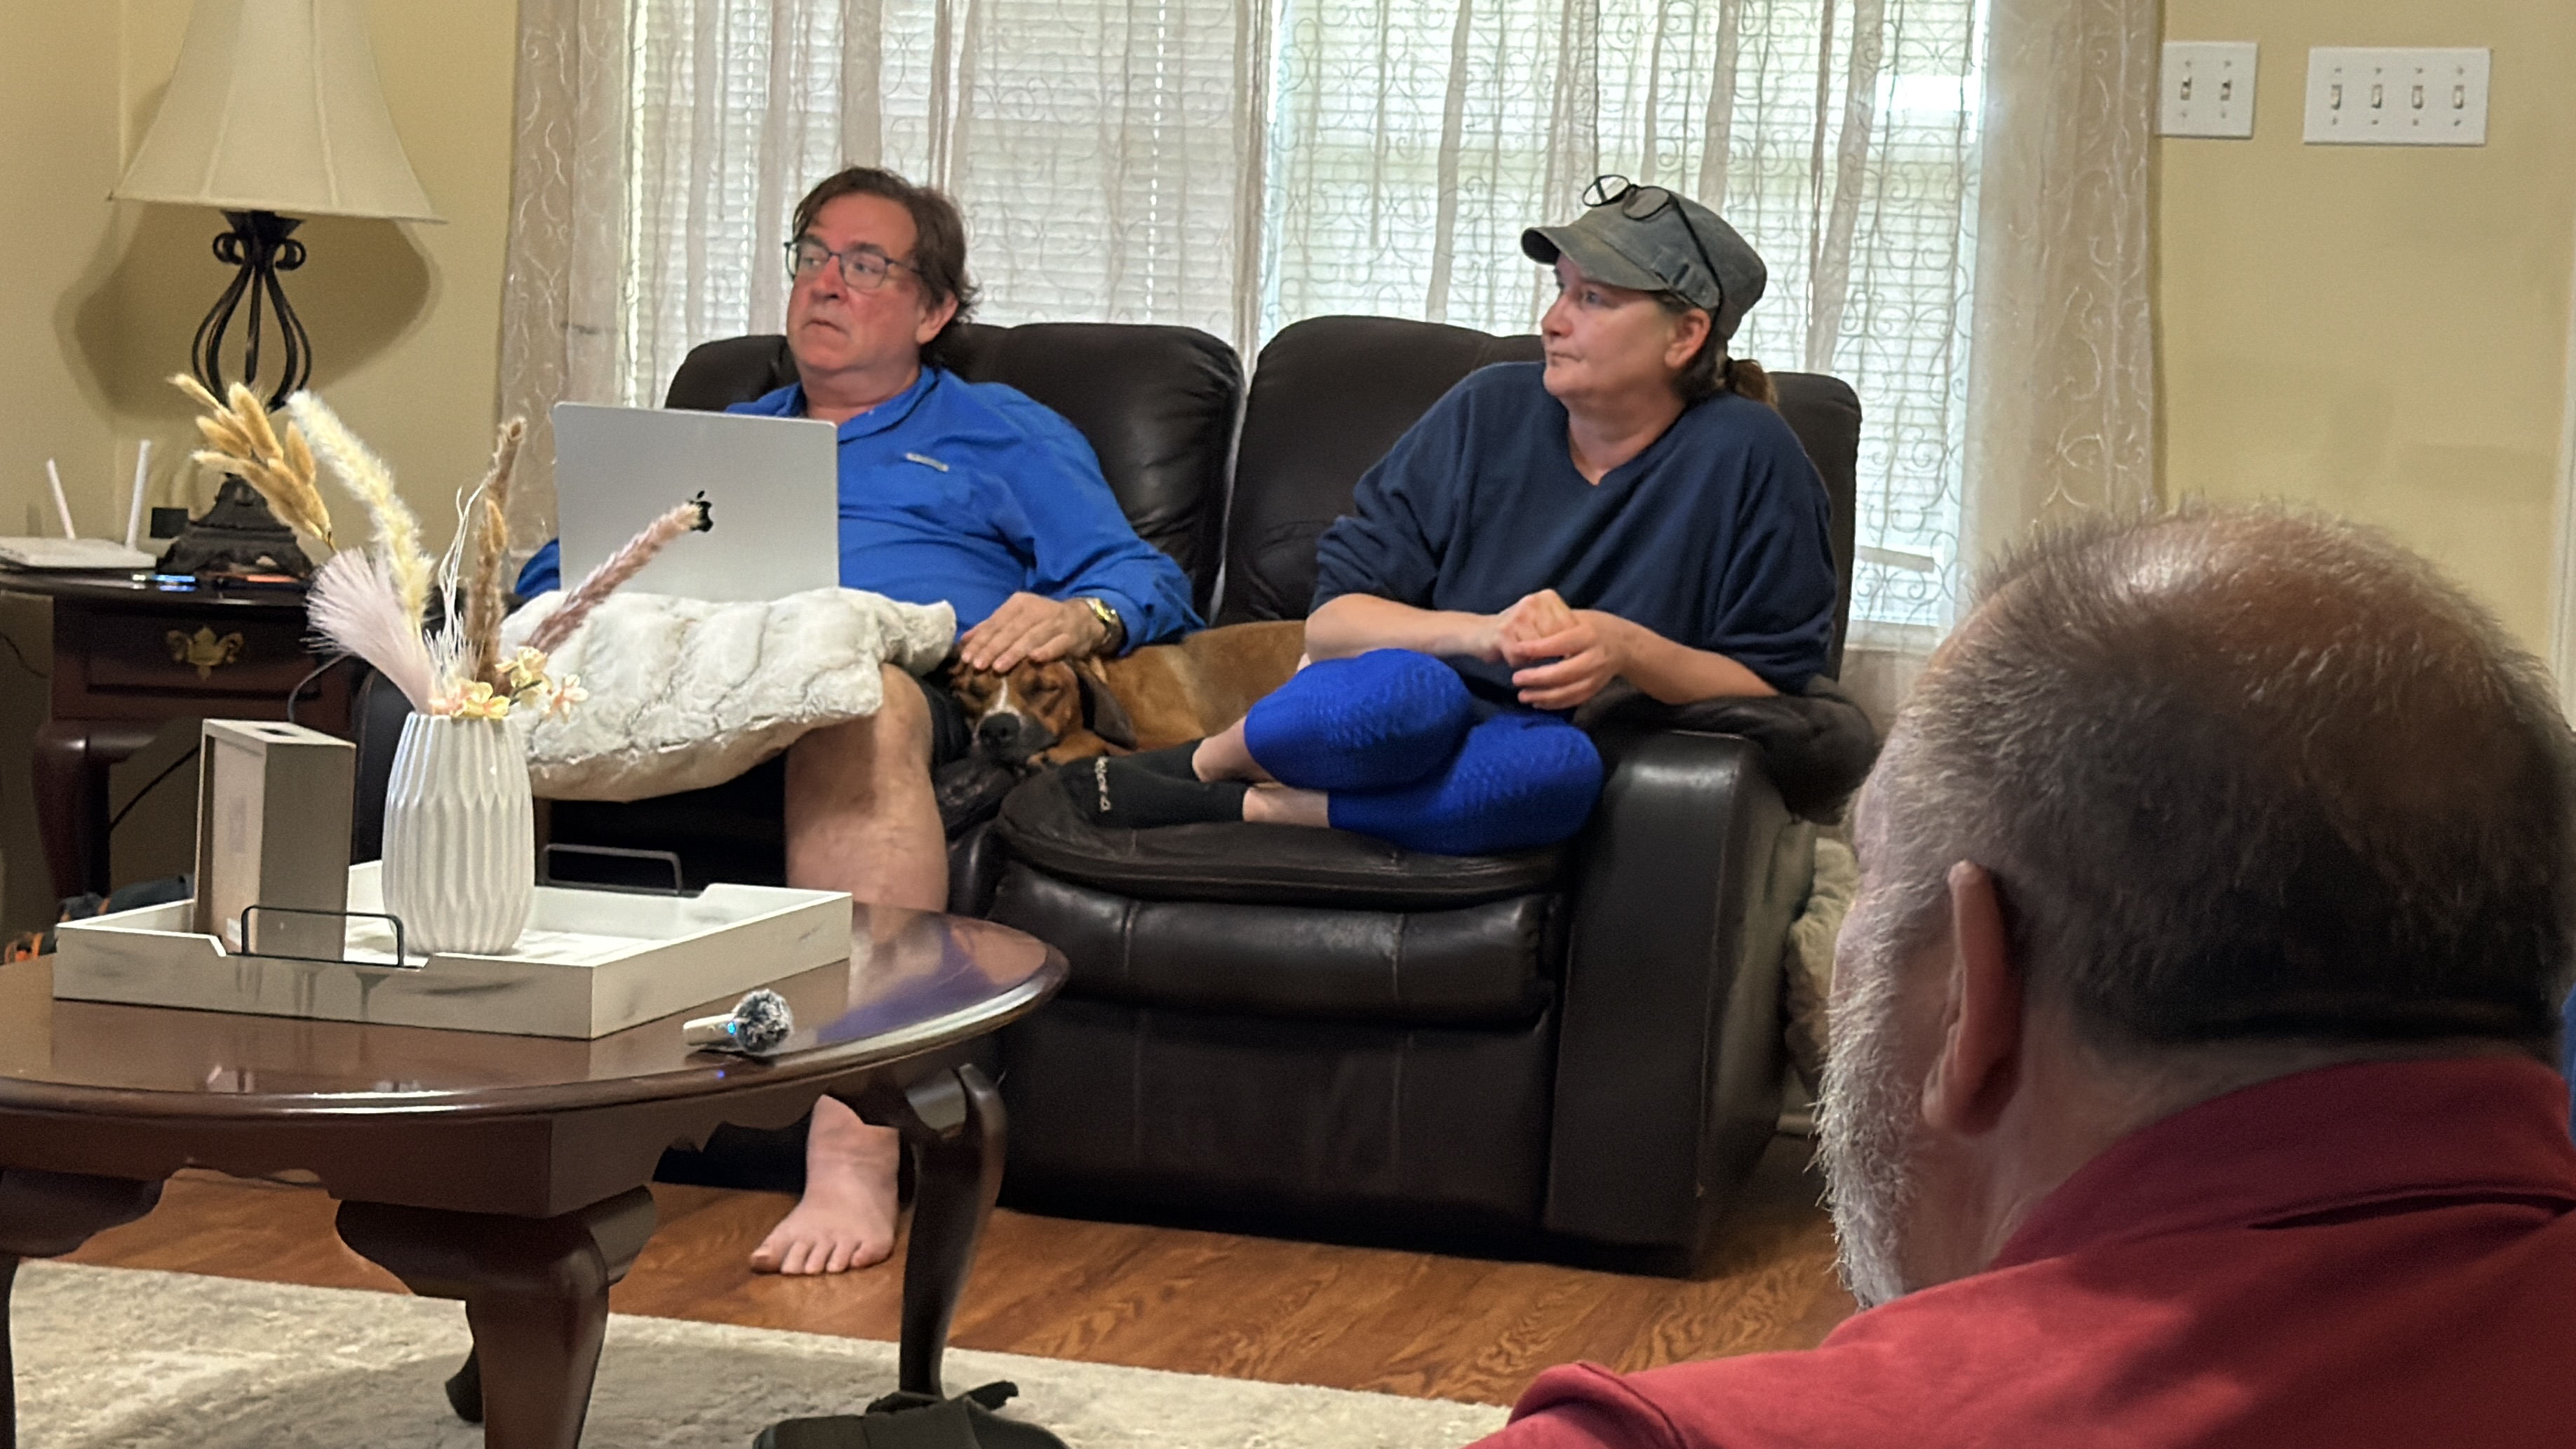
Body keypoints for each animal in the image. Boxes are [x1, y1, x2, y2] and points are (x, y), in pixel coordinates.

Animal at [946, 619, 1308, 768]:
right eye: (970, 693)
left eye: (1044, 689)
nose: (995, 730)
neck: (1109, 678)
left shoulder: (1182, 737)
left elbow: (1096, 737)